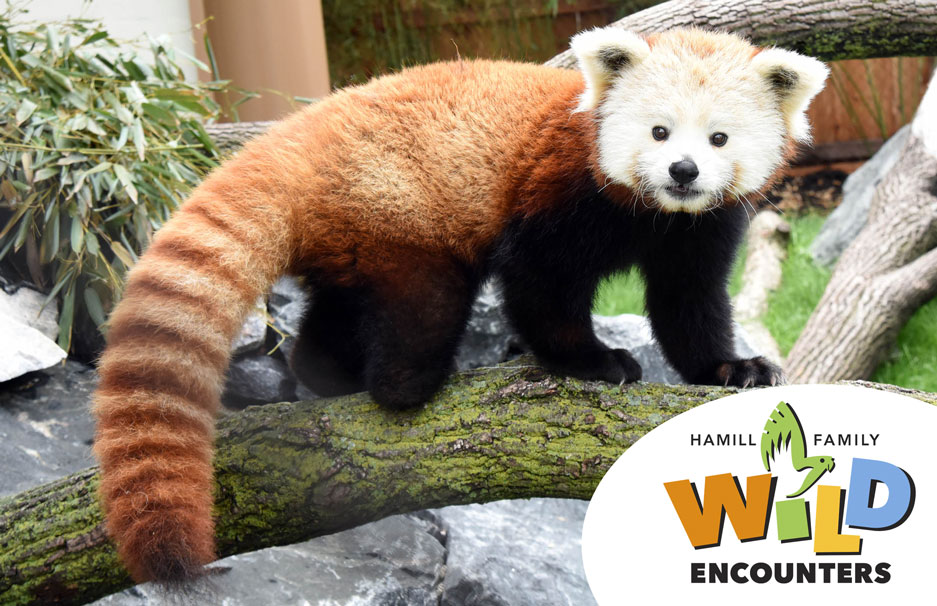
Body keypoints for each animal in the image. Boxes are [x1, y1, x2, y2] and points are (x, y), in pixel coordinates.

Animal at [92, 26, 828, 582]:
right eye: (657, 132)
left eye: (718, 140)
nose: (682, 173)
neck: (651, 213)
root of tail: (301, 136)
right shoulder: (558, 193)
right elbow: (539, 283)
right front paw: (593, 361)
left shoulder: (700, 228)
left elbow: (689, 304)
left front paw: (730, 369)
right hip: (400, 204)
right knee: (420, 302)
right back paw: (407, 382)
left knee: (337, 307)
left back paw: (325, 370)